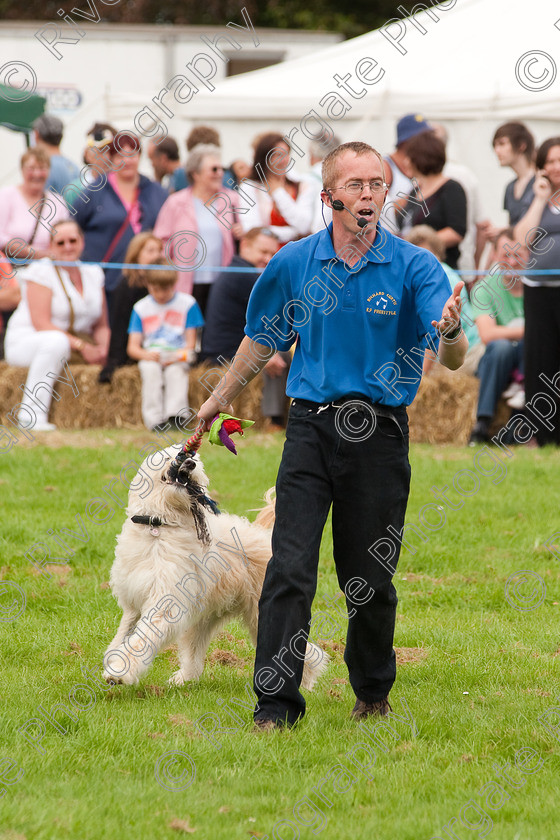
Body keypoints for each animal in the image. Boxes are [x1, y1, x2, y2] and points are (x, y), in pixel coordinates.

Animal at [104, 446, 328, 688]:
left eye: (193, 459)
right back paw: (183, 679)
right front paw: (114, 659)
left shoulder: (165, 602)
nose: (190, 463)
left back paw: (303, 682)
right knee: (194, 654)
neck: (159, 526)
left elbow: (142, 637)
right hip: (206, 615)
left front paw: (119, 670)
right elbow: (125, 632)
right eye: (168, 457)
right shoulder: (133, 602)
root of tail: (265, 536)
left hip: (259, 612)